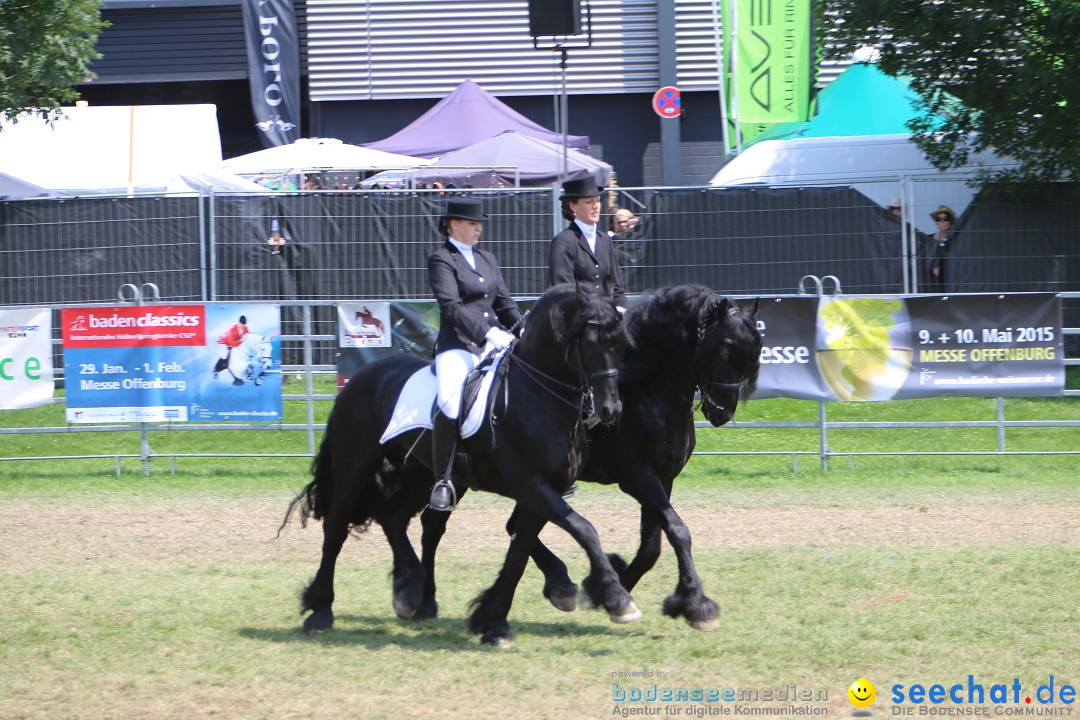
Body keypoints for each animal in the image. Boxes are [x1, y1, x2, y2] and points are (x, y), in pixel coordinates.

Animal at [287, 282, 639, 647]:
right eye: (591, 342)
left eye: (621, 344)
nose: (611, 410)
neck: (538, 396)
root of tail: (359, 378)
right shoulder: (532, 486)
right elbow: (584, 529)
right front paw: (617, 599)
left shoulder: (544, 490)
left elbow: (519, 554)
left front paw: (494, 622)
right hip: (355, 466)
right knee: (336, 527)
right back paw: (321, 610)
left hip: (422, 473)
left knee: (393, 516)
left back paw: (410, 592)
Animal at [416, 282, 764, 630]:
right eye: (723, 353)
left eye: (752, 356)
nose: (722, 412)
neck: (649, 390)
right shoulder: (639, 478)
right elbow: (677, 531)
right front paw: (687, 603)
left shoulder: (663, 479)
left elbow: (652, 546)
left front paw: (622, 589)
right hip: (462, 477)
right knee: (442, 524)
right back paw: (426, 600)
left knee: (511, 526)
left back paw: (555, 585)